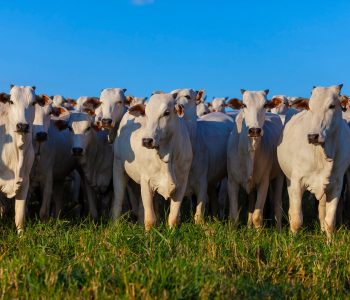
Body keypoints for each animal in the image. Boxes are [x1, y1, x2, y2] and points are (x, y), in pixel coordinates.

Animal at [111, 92, 191, 230]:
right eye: (146, 113)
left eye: (166, 112)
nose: (147, 140)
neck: (166, 156)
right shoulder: (146, 182)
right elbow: (150, 219)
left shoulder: (182, 183)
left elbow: (173, 218)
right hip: (118, 167)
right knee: (118, 200)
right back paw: (116, 226)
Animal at [227, 90, 284, 229]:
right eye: (244, 105)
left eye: (265, 105)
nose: (254, 130)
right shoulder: (232, 182)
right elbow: (234, 216)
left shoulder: (264, 182)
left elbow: (257, 216)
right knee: (251, 204)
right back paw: (249, 226)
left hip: (279, 177)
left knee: (277, 204)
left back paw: (279, 229)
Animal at [276, 83, 350, 238]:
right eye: (310, 107)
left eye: (332, 106)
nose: (312, 136)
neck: (321, 156)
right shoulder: (296, 182)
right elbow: (296, 219)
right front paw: (293, 240)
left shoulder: (337, 185)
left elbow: (329, 221)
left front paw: (329, 242)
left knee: (322, 212)